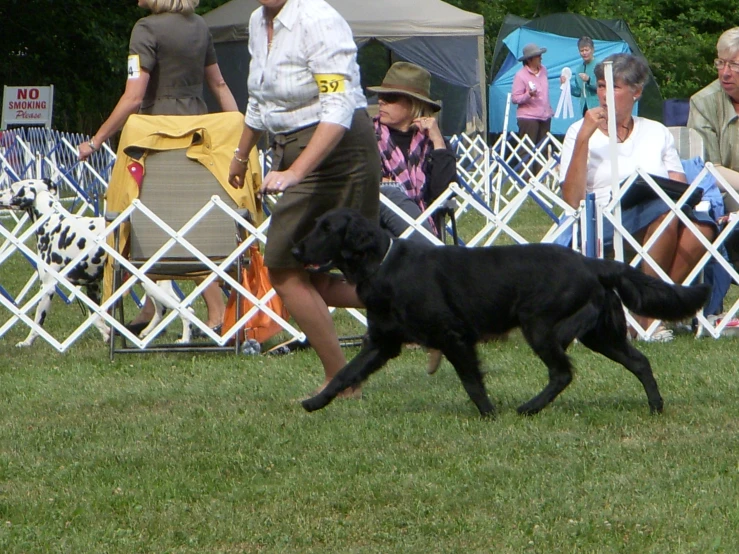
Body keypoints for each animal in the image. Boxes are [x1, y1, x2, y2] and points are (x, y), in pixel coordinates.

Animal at [0, 178, 194, 344]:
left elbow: (37, 322)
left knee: (185, 310)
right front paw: (107, 334)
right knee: (162, 310)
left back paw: (184, 340)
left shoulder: (48, 287)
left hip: (153, 285)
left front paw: (27, 342)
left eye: (13, 188)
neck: (53, 224)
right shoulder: (92, 287)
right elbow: (95, 317)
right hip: (152, 284)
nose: (0, 194)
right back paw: (146, 333)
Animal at [294, 207, 712, 414]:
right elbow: (345, 373)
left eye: (327, 229)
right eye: (316, 224)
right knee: (639, 361)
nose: (295, 250)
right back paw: (655, 406)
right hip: (601, 334)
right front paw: (315, 402)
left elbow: (472, 382)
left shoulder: (454, 336)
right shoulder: (382, 342)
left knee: (562, 372)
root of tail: (591, 262)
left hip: (540, 325)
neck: (382, 266)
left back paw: (528, 408)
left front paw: (488, 414)